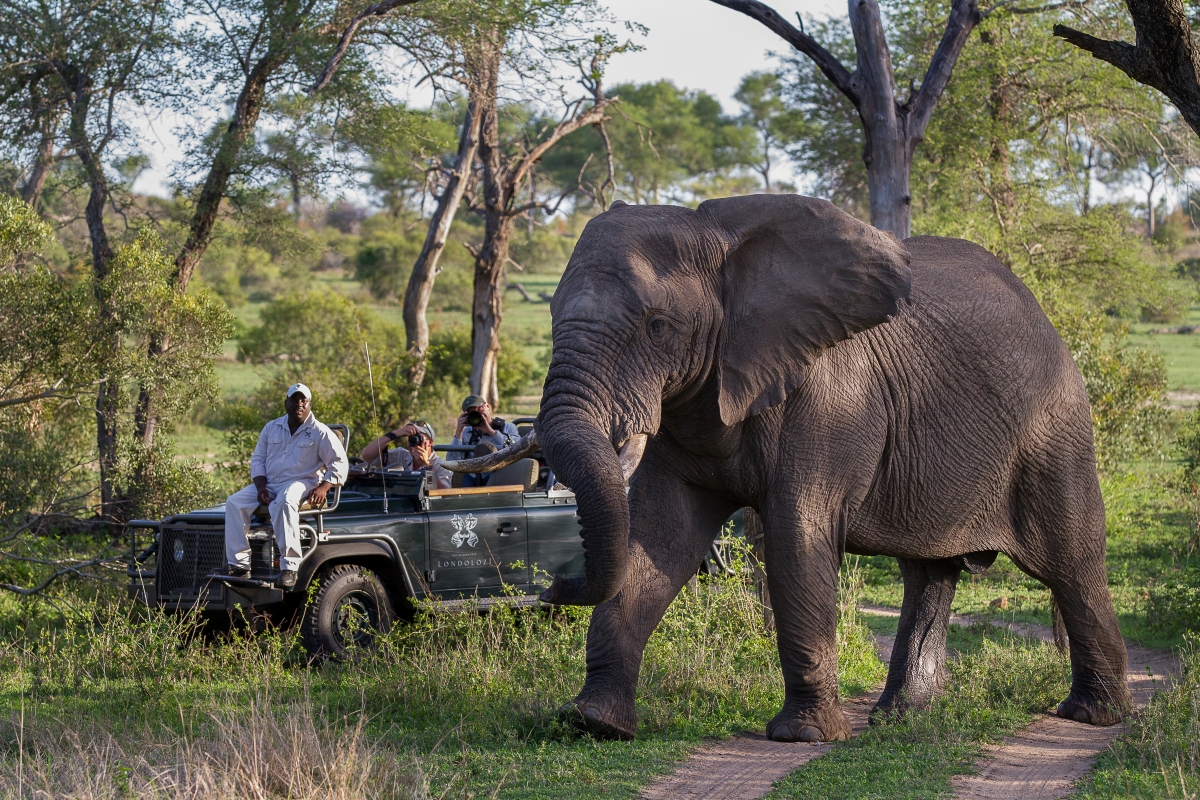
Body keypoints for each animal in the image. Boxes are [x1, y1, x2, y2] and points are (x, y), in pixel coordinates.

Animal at [446, 194, 1128, 743]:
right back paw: (900, 718)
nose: (553, 586)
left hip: (1053, 425)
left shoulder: (828, 400)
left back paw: (1093, 717)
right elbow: (658, 539)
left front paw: (803, 737)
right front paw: (594, 723)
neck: (720, 239)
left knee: (1071, 561)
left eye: (658, 327)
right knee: (929, 573)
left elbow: (798, 535)